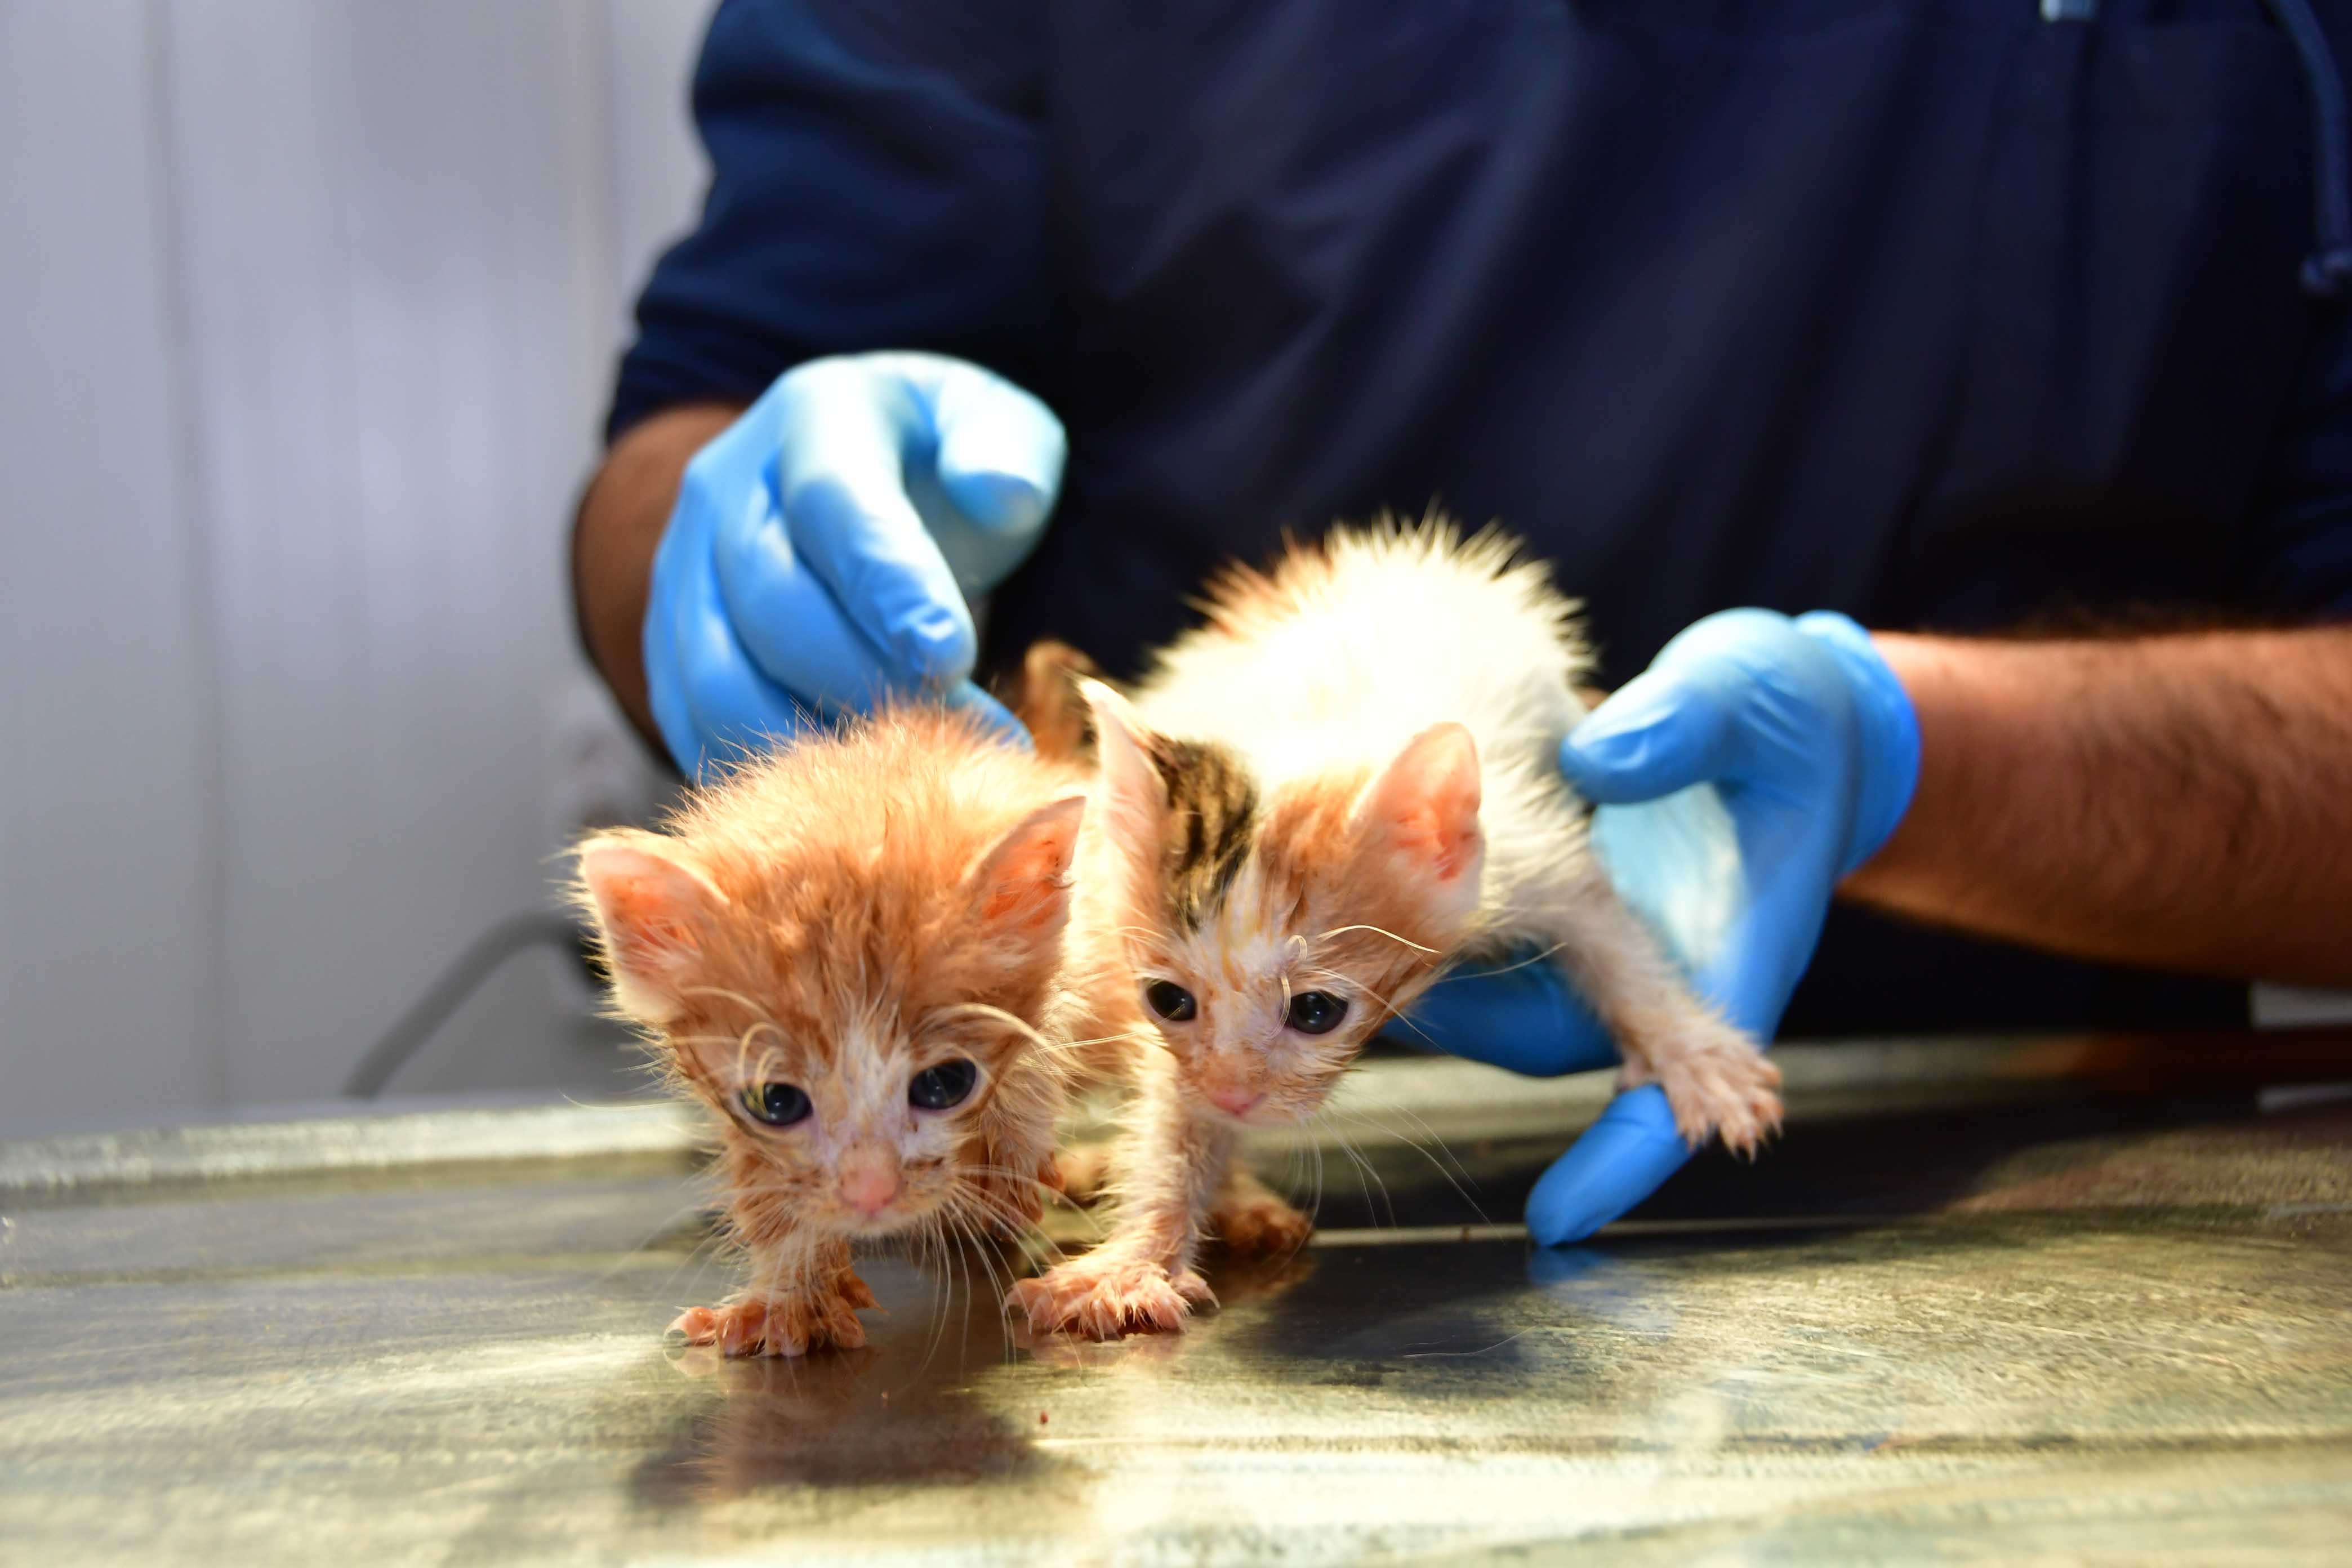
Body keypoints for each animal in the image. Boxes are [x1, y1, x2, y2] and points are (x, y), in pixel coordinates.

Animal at [573, 705, 1086, 1354]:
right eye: (776, 1101)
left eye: (945, 1083)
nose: (871, 1194)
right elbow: (771, 1187)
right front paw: (785, 1298)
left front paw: (1011, 1148)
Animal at [1011, 522, 1778, 1344]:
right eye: (1168, 1001)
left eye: (1316, 1011)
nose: (1234, 1097)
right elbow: (1173, 1111)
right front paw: (1136, 1259)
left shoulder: (1523, 847)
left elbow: (1607, 931)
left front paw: (1695, 1057)